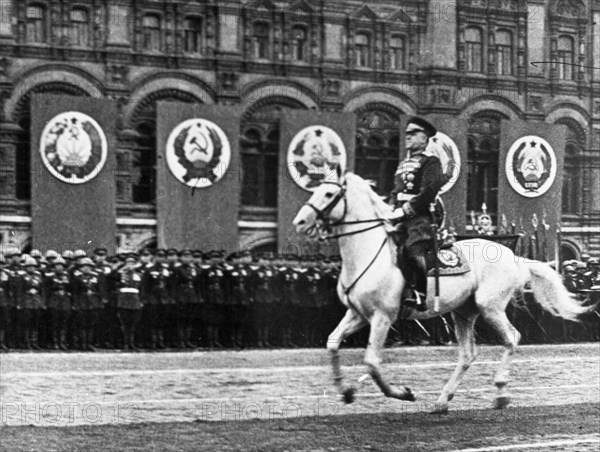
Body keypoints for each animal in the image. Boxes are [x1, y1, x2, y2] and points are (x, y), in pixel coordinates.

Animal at [292, 171, 588, 412]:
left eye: (329, 193)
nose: (300, 222)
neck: (367, 253)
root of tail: (514, 256)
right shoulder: (357, 314)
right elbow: (332, 343)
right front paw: (345, 389)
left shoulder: (382, 317)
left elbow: (372, 362)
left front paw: (403, 393)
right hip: (463, 312)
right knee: (468, 354)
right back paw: (443, 400)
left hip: (490, 307)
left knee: (512, 338)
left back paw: (500, 392)